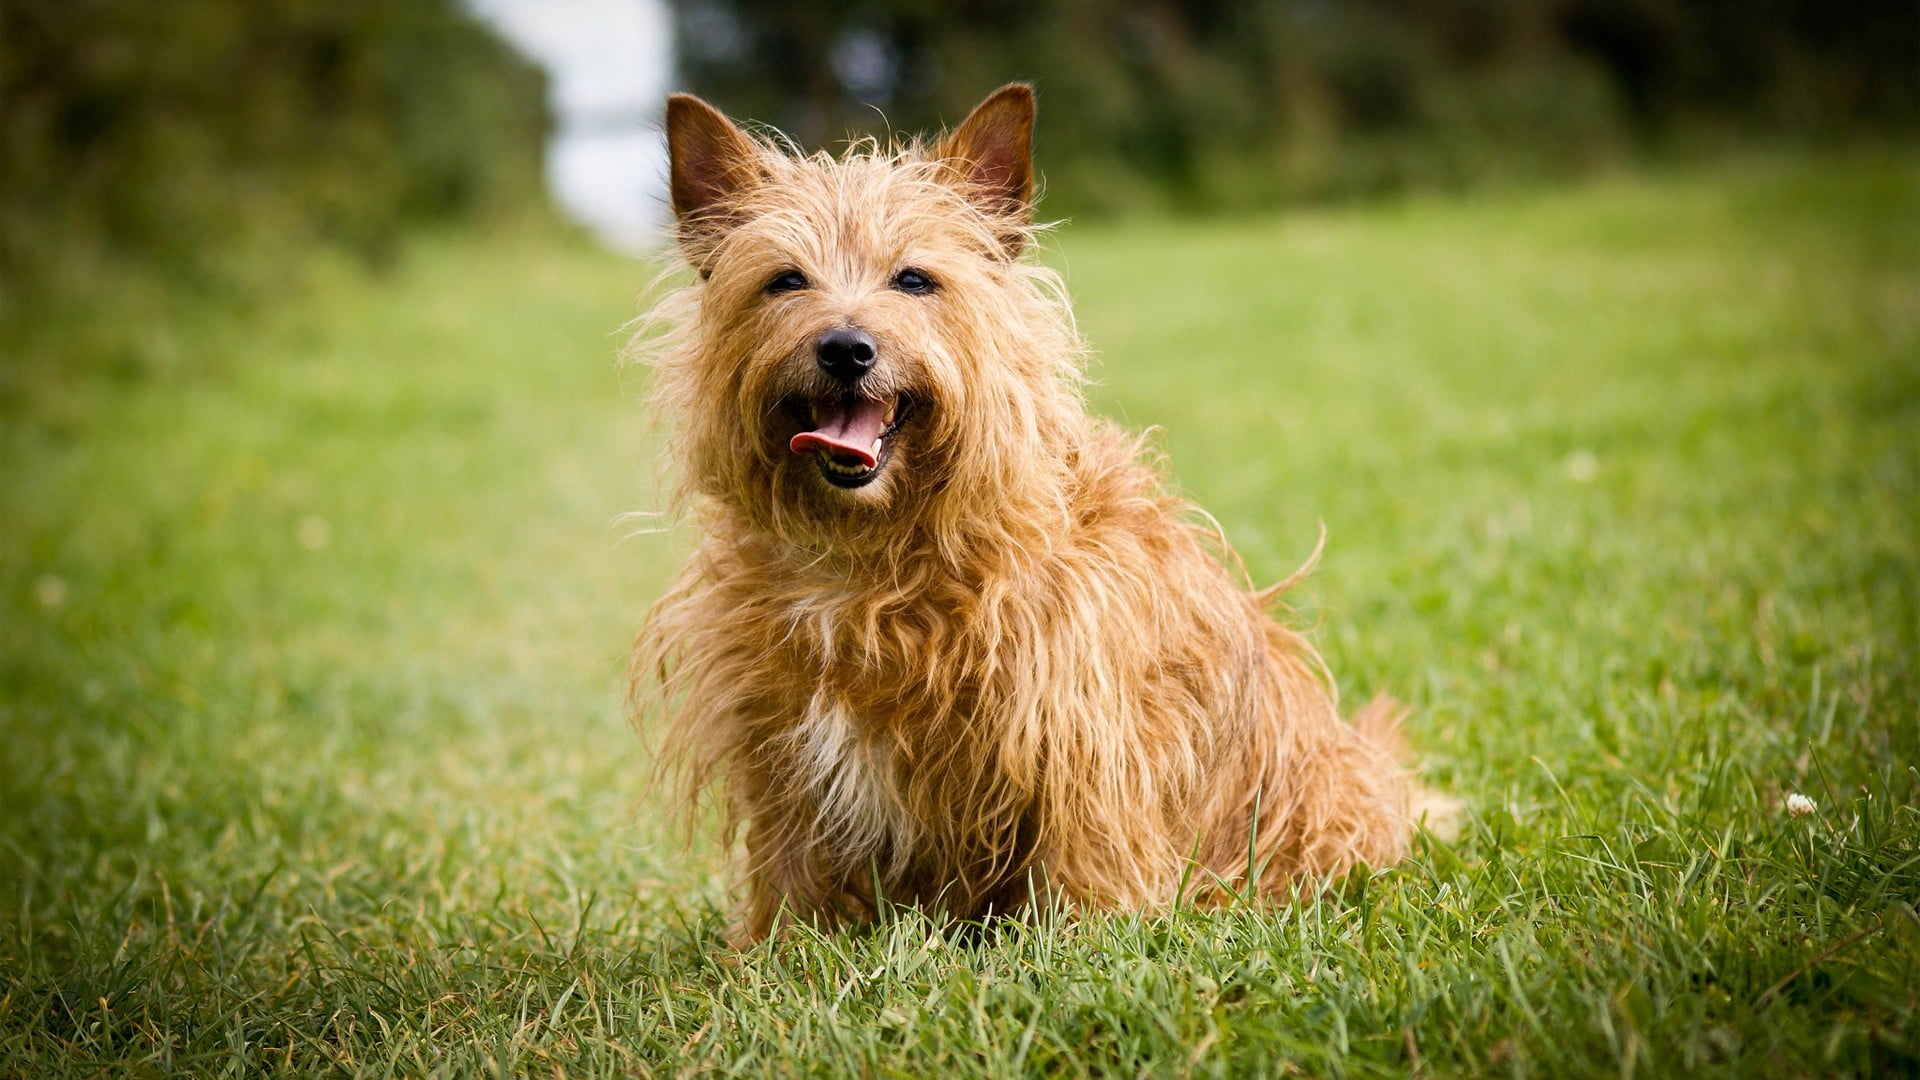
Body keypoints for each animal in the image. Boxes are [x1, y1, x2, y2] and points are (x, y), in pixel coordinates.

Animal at [629, 85, 1428, 941]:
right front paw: (775, 950)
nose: (846, 347)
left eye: (914, 280)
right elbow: (790, 867)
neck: (869, 550)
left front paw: (1085, 942)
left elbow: (1087, 853)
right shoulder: (780, 744)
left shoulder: (1080, 727)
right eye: (785, 281)